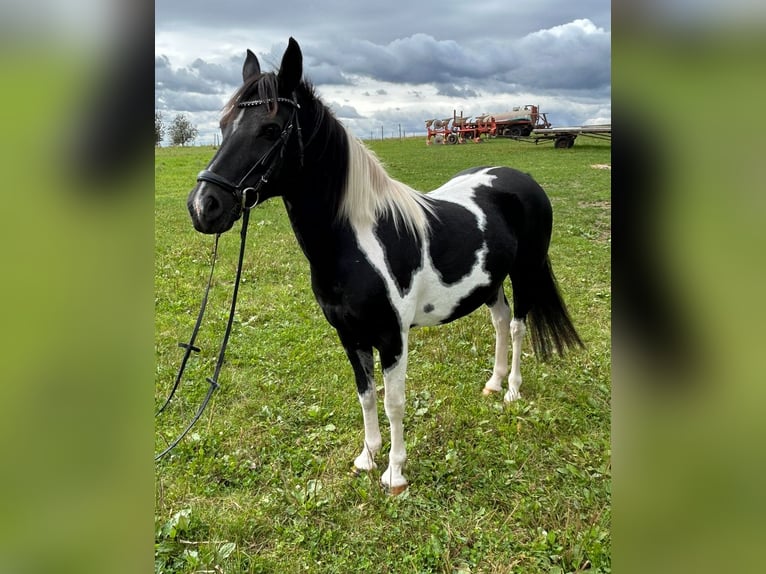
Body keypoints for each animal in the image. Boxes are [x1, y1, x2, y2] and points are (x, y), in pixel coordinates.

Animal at [186, 38, 584, 496]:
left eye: (270, 128)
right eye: (223, 126)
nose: (204, 207)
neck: (359, 243)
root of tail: (522, 179)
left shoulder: (392, 337)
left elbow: (394, 401)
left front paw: (395, 473)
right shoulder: (349, 335)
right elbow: (366, 394)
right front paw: (367, 456)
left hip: (525, 272)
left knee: (518, 327)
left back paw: (512, 392)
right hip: (488, 283)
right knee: (500, 322)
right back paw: (493, 383)